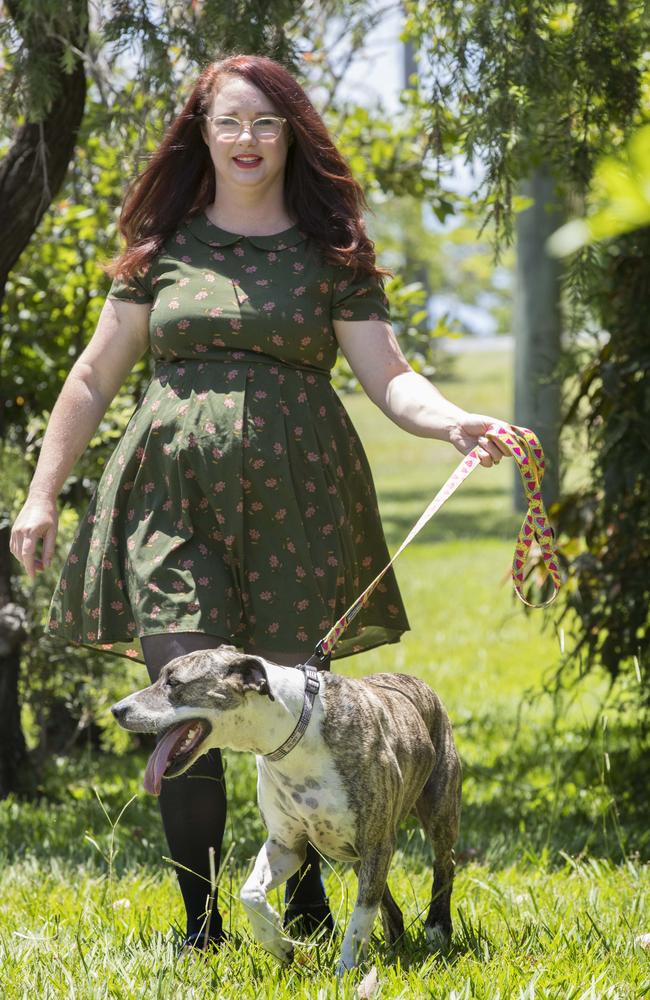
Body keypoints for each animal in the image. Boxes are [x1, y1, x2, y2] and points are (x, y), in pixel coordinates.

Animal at [109, 644, 458, 972]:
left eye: (174, 683)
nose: (116, 710)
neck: (294, 730)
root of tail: (416, 682)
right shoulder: (287, 845)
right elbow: (250, 892)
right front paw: (278, 944)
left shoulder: (375, 842)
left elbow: (360, 916)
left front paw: (346, 970)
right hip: (360, 856)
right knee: (385, 900)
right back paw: (394, 943)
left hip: (437, 814)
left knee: (444, 863)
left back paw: (437, 930)